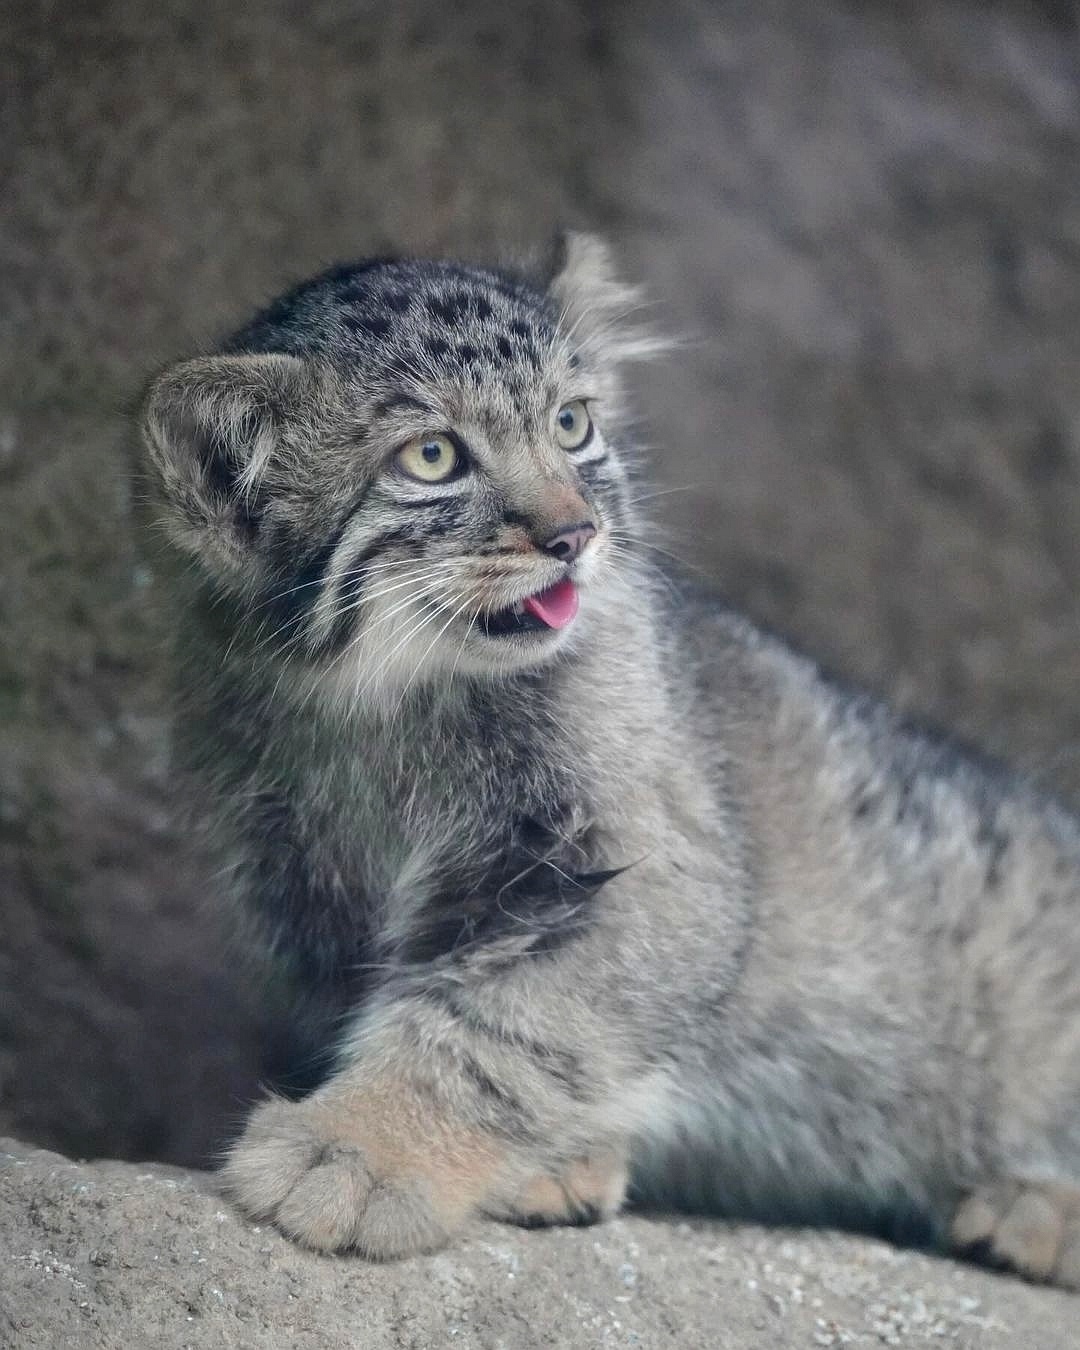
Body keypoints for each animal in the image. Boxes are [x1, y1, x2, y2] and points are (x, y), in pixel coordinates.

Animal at [141, 237, 1080, 1279]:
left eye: (572, 422)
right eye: (433, 457)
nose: (575, 533)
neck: (378, 706)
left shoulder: (637, 868)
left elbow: (496, 1035)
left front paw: (360, 1151)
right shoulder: (293, 884)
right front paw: (550, 1162)